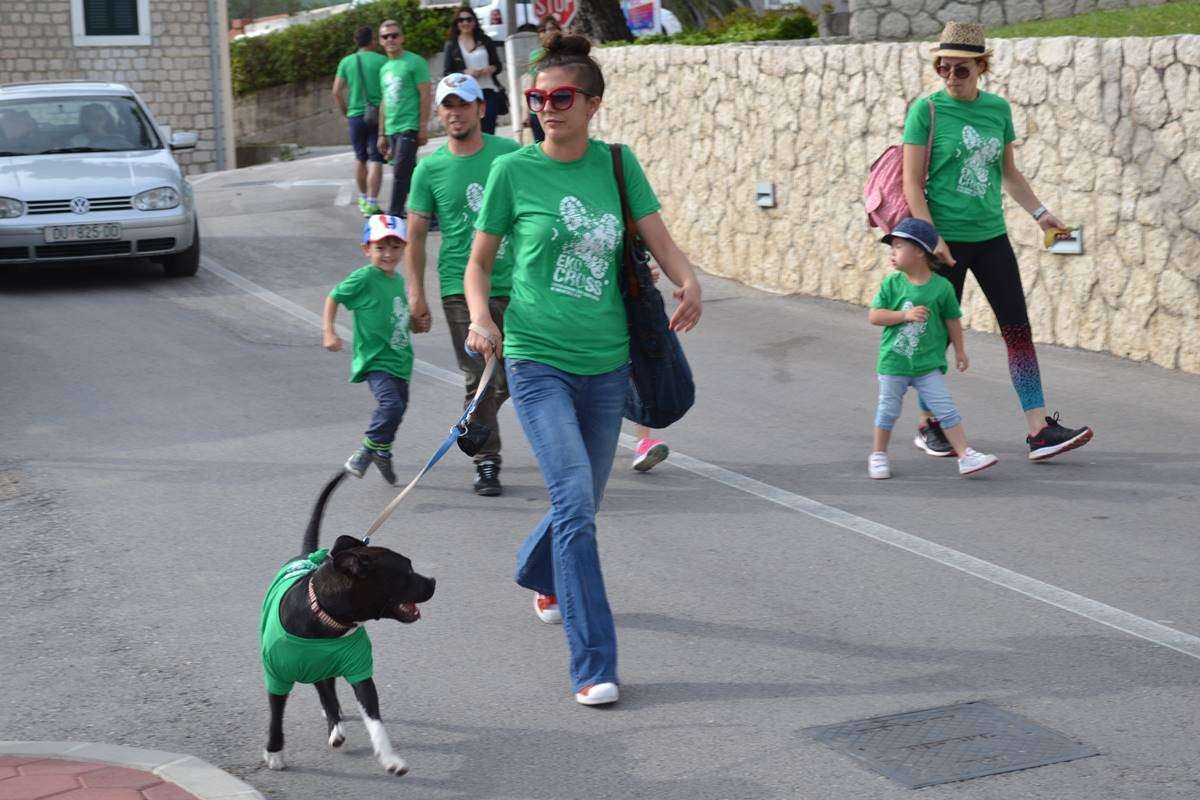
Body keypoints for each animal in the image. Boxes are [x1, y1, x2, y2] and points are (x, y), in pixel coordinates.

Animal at [260, 471, 436, 775]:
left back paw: (336, 723)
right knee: (323, 691)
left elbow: (374, 717)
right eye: (407, 572)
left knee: (327, 691)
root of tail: (307, 555)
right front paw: (274, 753)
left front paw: (390, 758)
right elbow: (276, 716)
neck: (324, 620)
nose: (434, 582)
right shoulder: (277, 674)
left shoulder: (359, 670)